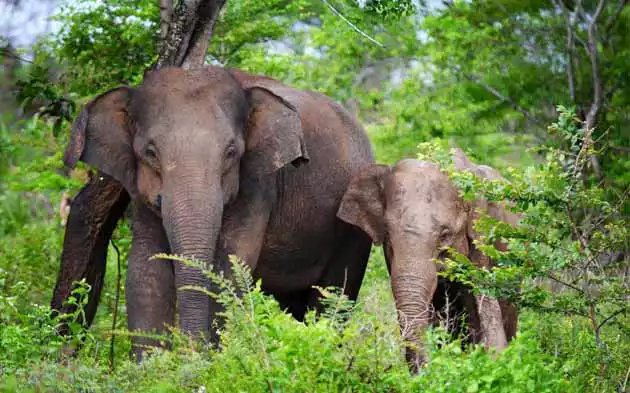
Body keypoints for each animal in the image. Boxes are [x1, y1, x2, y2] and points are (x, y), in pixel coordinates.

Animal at [53, 65, 376, 358]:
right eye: (150, 152)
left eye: (231, 152)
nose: (190, 354)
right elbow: (146, 271)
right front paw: (155, 370)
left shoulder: (258, 185)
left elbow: (230, 268)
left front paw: (210, 365)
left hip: (351, 229)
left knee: (332, 299)